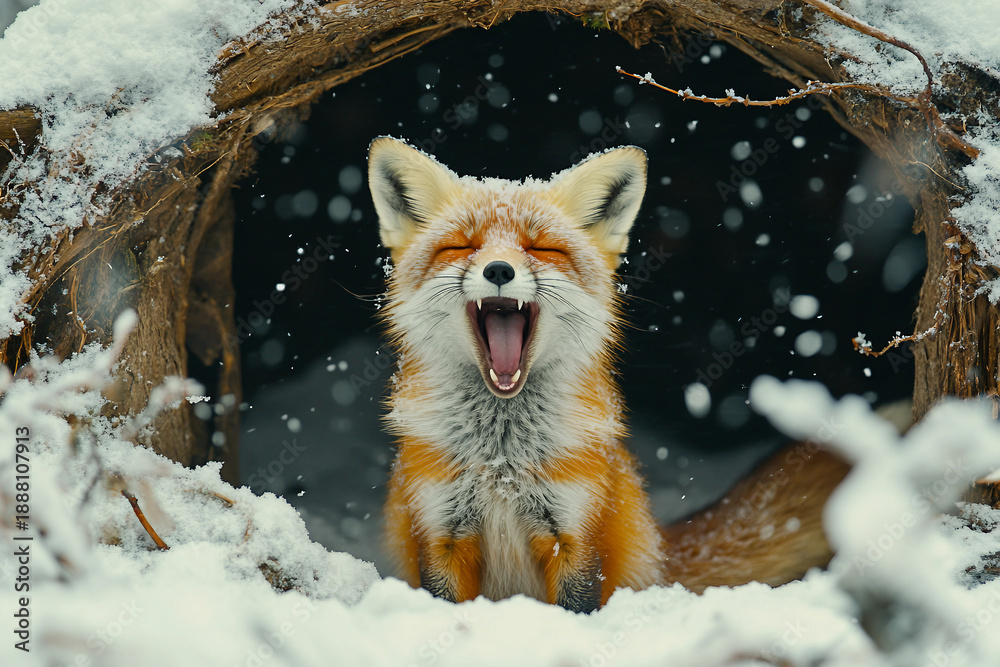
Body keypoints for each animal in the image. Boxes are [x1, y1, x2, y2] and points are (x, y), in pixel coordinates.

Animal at [366, 136, 851, 612]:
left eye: (542, 249)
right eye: (460, 247)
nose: (499, 269)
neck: (503, 460)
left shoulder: (577, 532)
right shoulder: (440, 533)